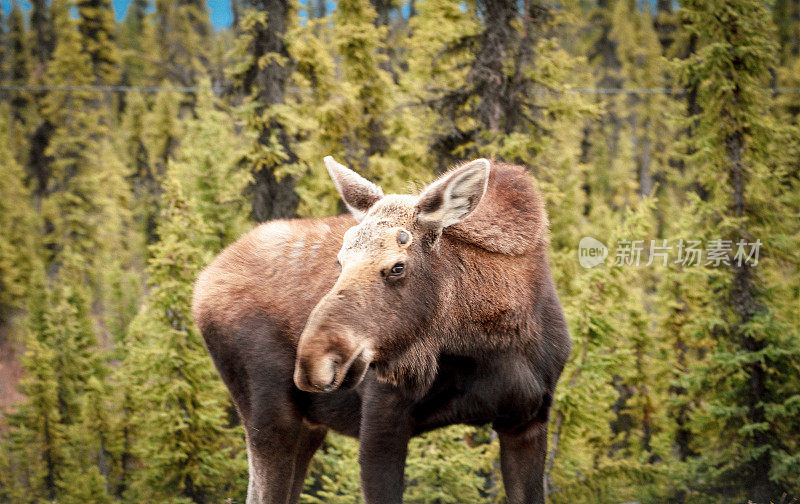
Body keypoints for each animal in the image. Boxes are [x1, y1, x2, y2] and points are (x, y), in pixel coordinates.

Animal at [191, 158, 572, 504]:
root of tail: (202, 285)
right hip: (269, 414)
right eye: (340, 261)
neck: (487, 345)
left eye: (397, 267)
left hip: (308, 425)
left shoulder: (528, 421)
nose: (314, 360)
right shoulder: (381, 420)